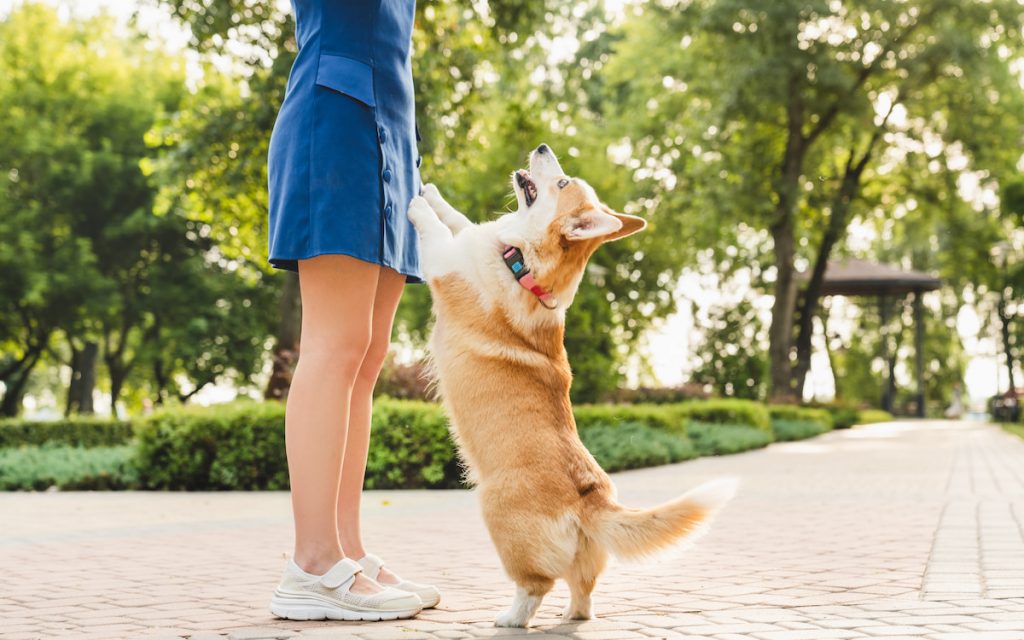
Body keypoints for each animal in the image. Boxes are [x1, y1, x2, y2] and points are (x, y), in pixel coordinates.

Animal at [405, 143, 737, 622]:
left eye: (562, 183)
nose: (543, 147)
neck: (521, 264)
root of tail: (591, 502)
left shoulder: (446, 264)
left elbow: (438, 234)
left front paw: (417, 205)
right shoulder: (471, 238)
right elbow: (458, 218)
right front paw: (432, 193)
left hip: (498, 516)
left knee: (535, 586)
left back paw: (511, 618)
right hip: (585, 561)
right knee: (583, 595)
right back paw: (570, 617)